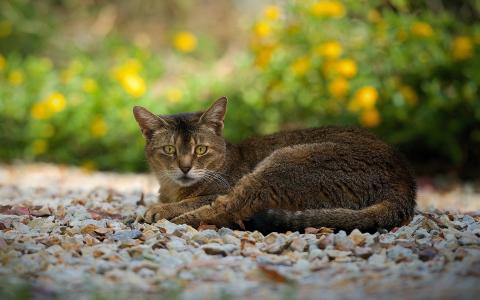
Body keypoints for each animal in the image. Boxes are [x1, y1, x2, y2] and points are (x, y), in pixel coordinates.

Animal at [132, 97, 416, 233]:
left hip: (284, 163)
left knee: (228, 209)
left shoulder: (223, 187)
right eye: (170, 150)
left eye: (200, 149)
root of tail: (405, 178)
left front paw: (160, 209)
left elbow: (197, 200)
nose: (185, 167)